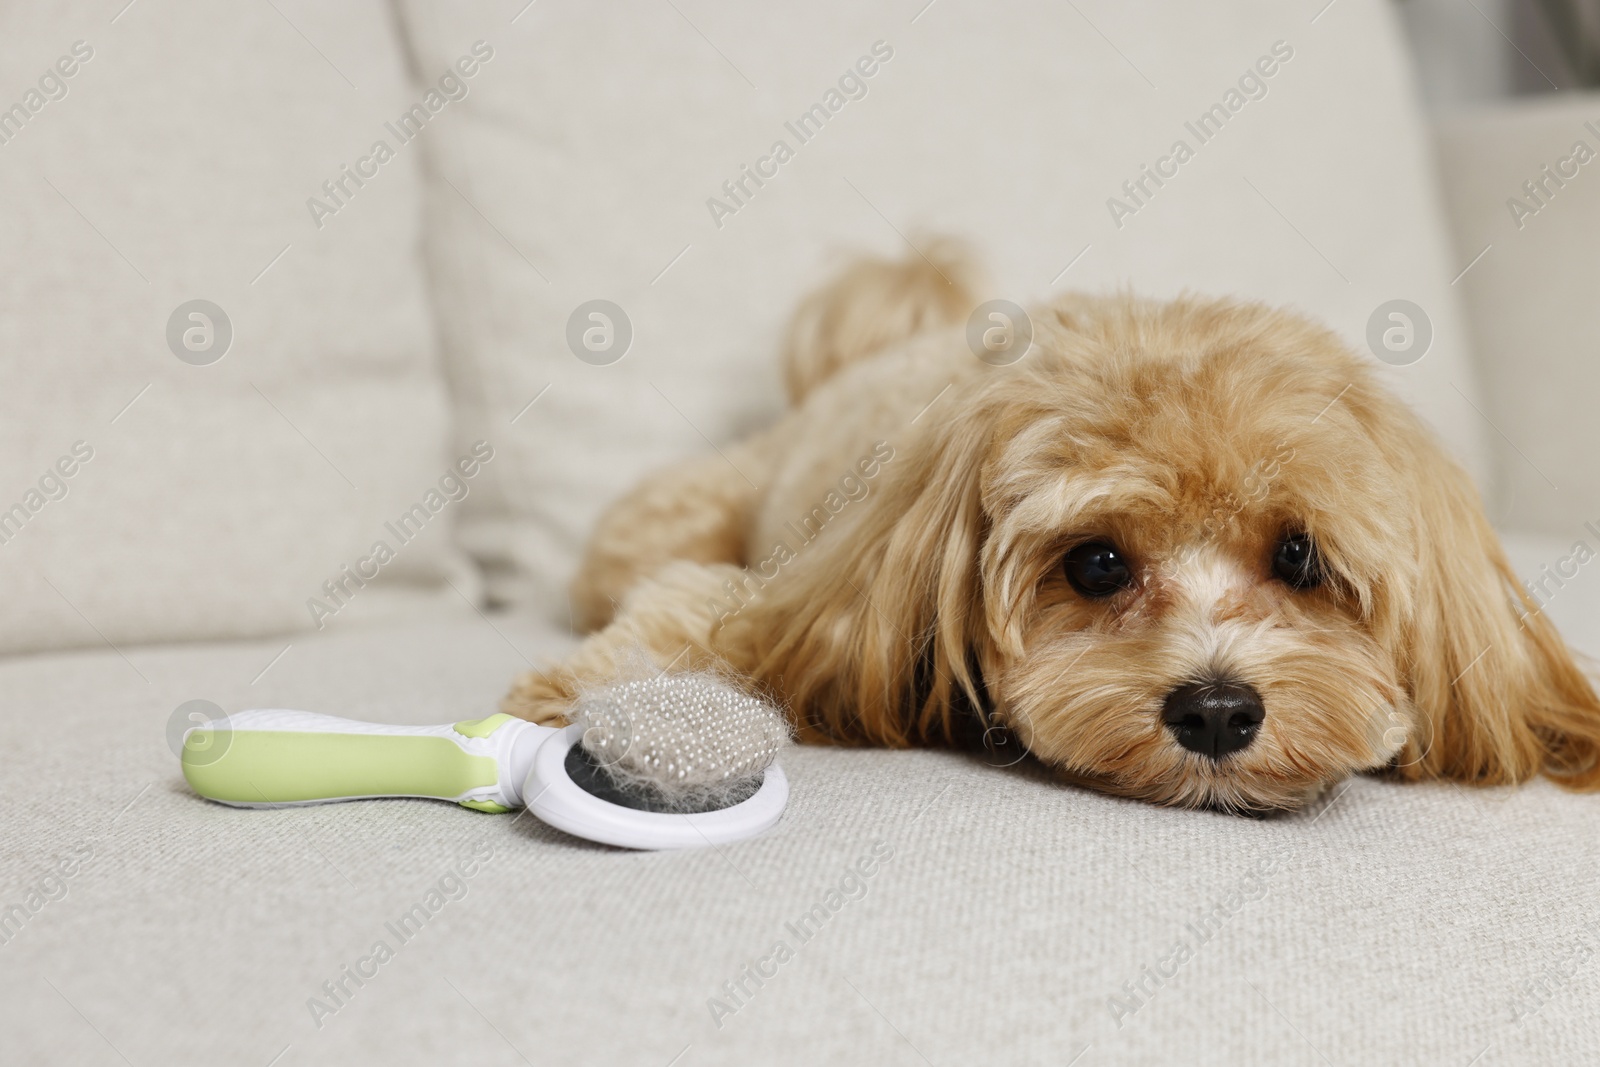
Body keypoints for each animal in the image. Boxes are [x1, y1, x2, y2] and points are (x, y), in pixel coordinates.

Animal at [502, 239, 1600, 809]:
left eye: (1299, 555)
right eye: (1098, 563)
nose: (1216, 711)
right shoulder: (791, 595)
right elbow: (689, 617)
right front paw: (574, 697)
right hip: (672, 513)